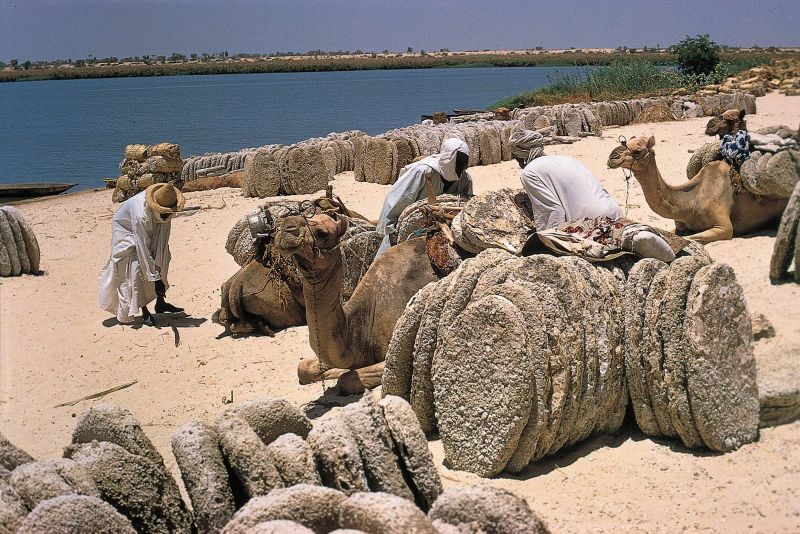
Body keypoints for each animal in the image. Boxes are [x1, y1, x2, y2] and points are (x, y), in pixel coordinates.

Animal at [608, 135, 784, 244]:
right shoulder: (680, 225)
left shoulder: (724, 227)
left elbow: (692, 239)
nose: (612, 157)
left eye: (637, 151)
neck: (691, 202)